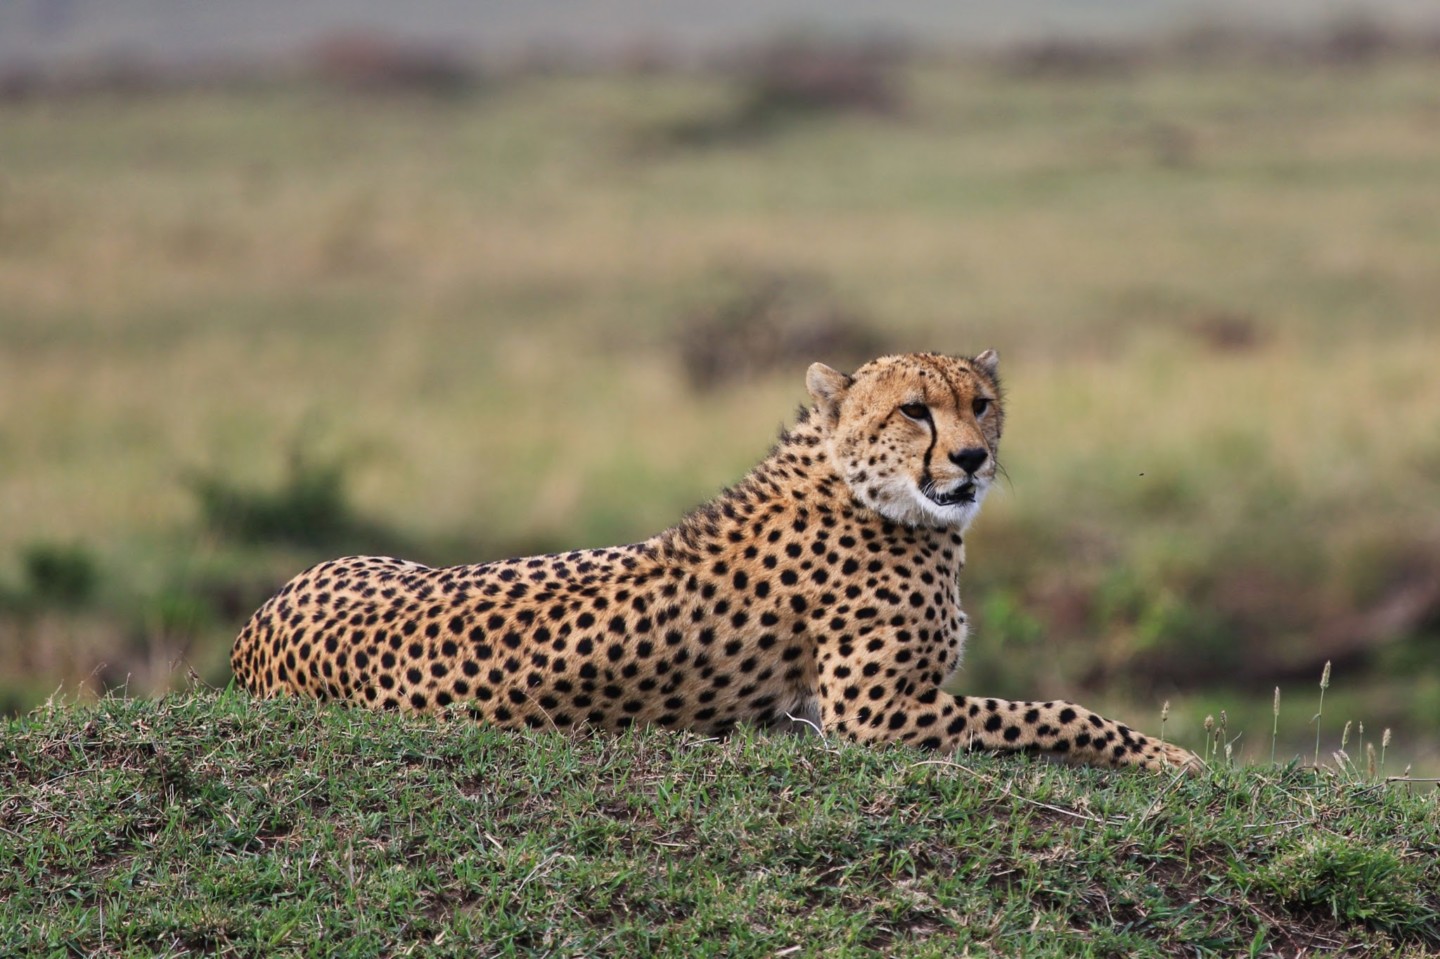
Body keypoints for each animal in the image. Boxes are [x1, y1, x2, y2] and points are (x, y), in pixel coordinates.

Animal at [233, 351, 1203, 771]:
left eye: (981, 403)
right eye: (916, 410)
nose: (971, 459)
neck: (866, 491)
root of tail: (262, 616)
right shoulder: (876, 714)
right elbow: (1057, 710)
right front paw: (1175, 758)